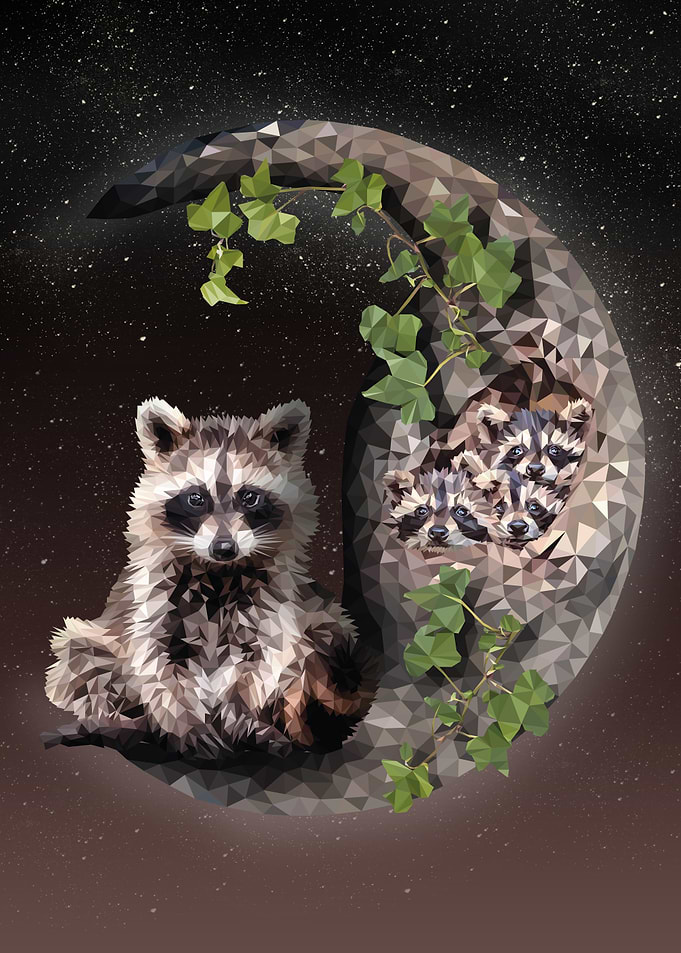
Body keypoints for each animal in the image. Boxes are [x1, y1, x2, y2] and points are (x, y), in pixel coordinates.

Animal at [45, 398, 378, 761]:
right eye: (195, 498)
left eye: (249, 497)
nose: (224, 548)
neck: (219, 574)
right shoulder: (152, 599)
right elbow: (155, 664)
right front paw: (185, 728)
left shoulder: (274, 603)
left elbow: (262, 664)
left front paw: (244, 723)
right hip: (95, 641)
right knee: (81, 657)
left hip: (325, 625)